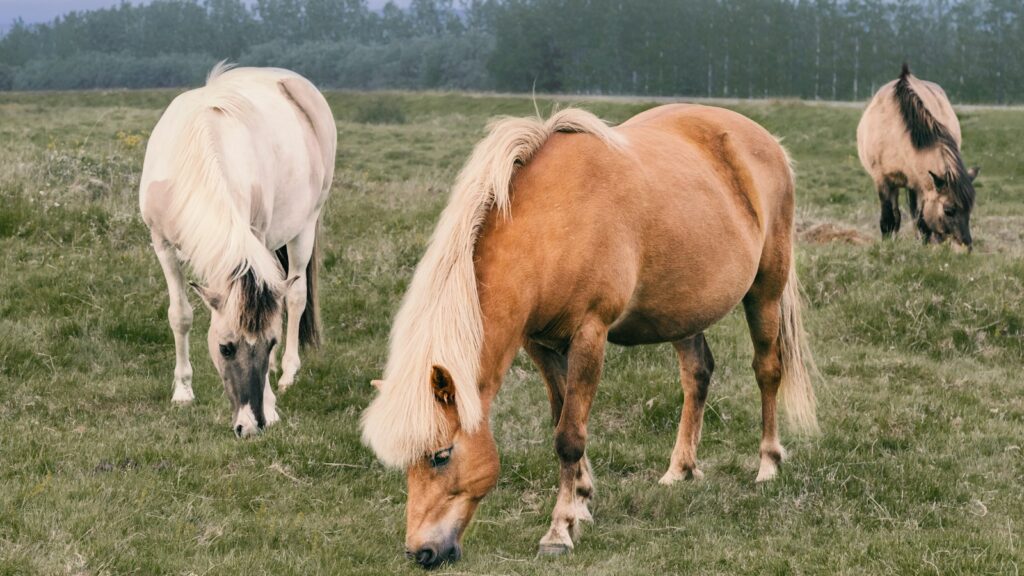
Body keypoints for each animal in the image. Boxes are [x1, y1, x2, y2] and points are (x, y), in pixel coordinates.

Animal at [139, 64, 336, 437]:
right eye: (225, 348)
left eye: (269, 344)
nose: (251, 424)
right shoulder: (162, 244)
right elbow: (180, 315)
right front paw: (183, 391)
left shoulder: (255, 238)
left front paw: (271, 404)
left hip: (305, 225)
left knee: (296, 296)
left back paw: (289, 372)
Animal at [361, 104, 817, 567]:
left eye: (440, 455)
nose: (421, 552)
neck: (549, 224)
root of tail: (764, 140)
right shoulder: (540, 344)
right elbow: (562, 416)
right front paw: (580, 501)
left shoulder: (589, 335)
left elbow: (569, 436)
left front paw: (559, 530)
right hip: (684, 310)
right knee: (697, 374)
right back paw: (680, 469)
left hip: (766, 290)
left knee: (767, 370)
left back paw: (768, 464)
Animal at [857, 63, 979, 249]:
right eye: (948, 210)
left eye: (969, 209)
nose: (966, 246)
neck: (896, 133)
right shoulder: (882, 180)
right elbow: (888, 220)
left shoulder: (920, 184)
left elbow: (922, 223)